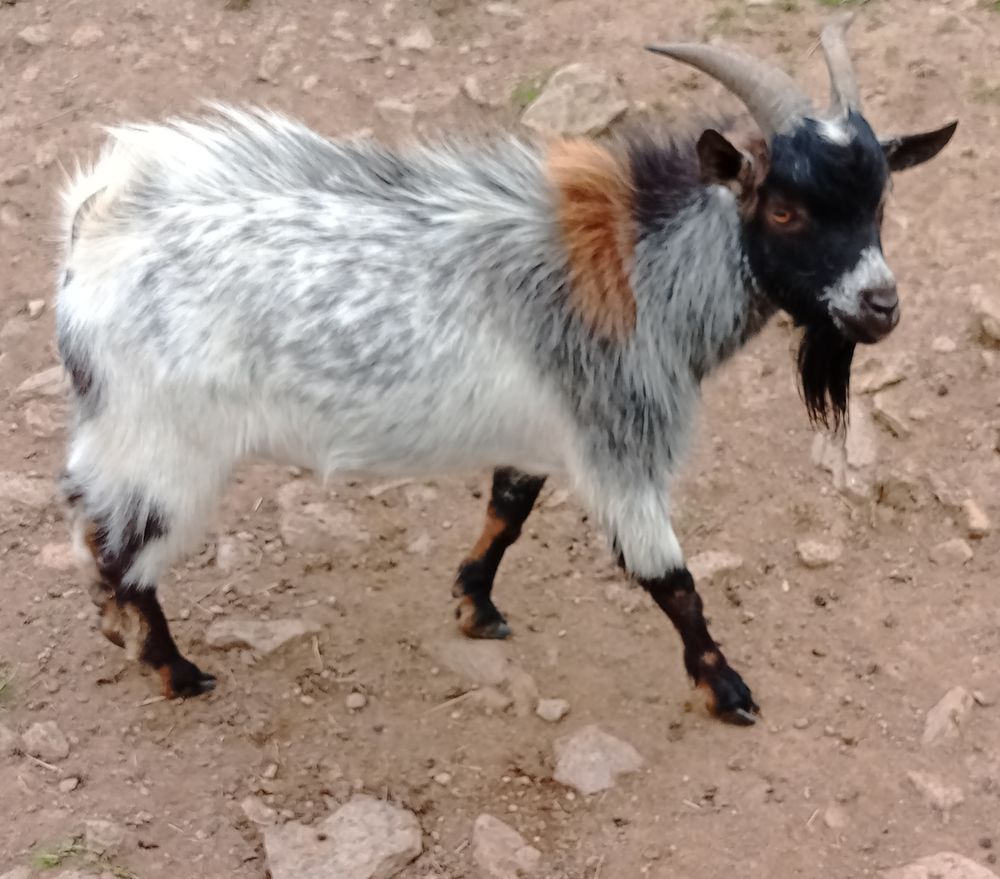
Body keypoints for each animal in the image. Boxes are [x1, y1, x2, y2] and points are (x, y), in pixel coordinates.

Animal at [56, 14, 955, 723]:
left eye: (880, 201)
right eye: (786, 207)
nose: (880, 305)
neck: (643, 267)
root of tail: (96, 221)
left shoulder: (546, 429)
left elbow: (509, 510)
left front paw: (474, 604)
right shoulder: (621, 438)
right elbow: (673, 579)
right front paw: (725, 688)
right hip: (165, 438)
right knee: (116, 543)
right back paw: (171, 667)